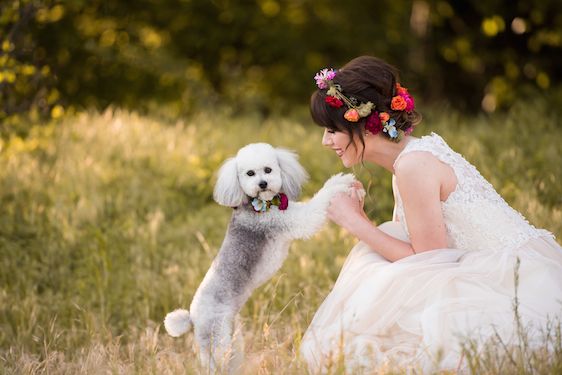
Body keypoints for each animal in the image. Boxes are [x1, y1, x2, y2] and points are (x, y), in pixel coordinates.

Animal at [163, 142, 354, 372]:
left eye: (268, 169)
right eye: (250, 173)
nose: (262, 184)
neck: (262, 203)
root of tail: (192, 317)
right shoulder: (294, 220)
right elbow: (318, 203)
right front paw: (339, 182)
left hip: (232, 339)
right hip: (216, 342)